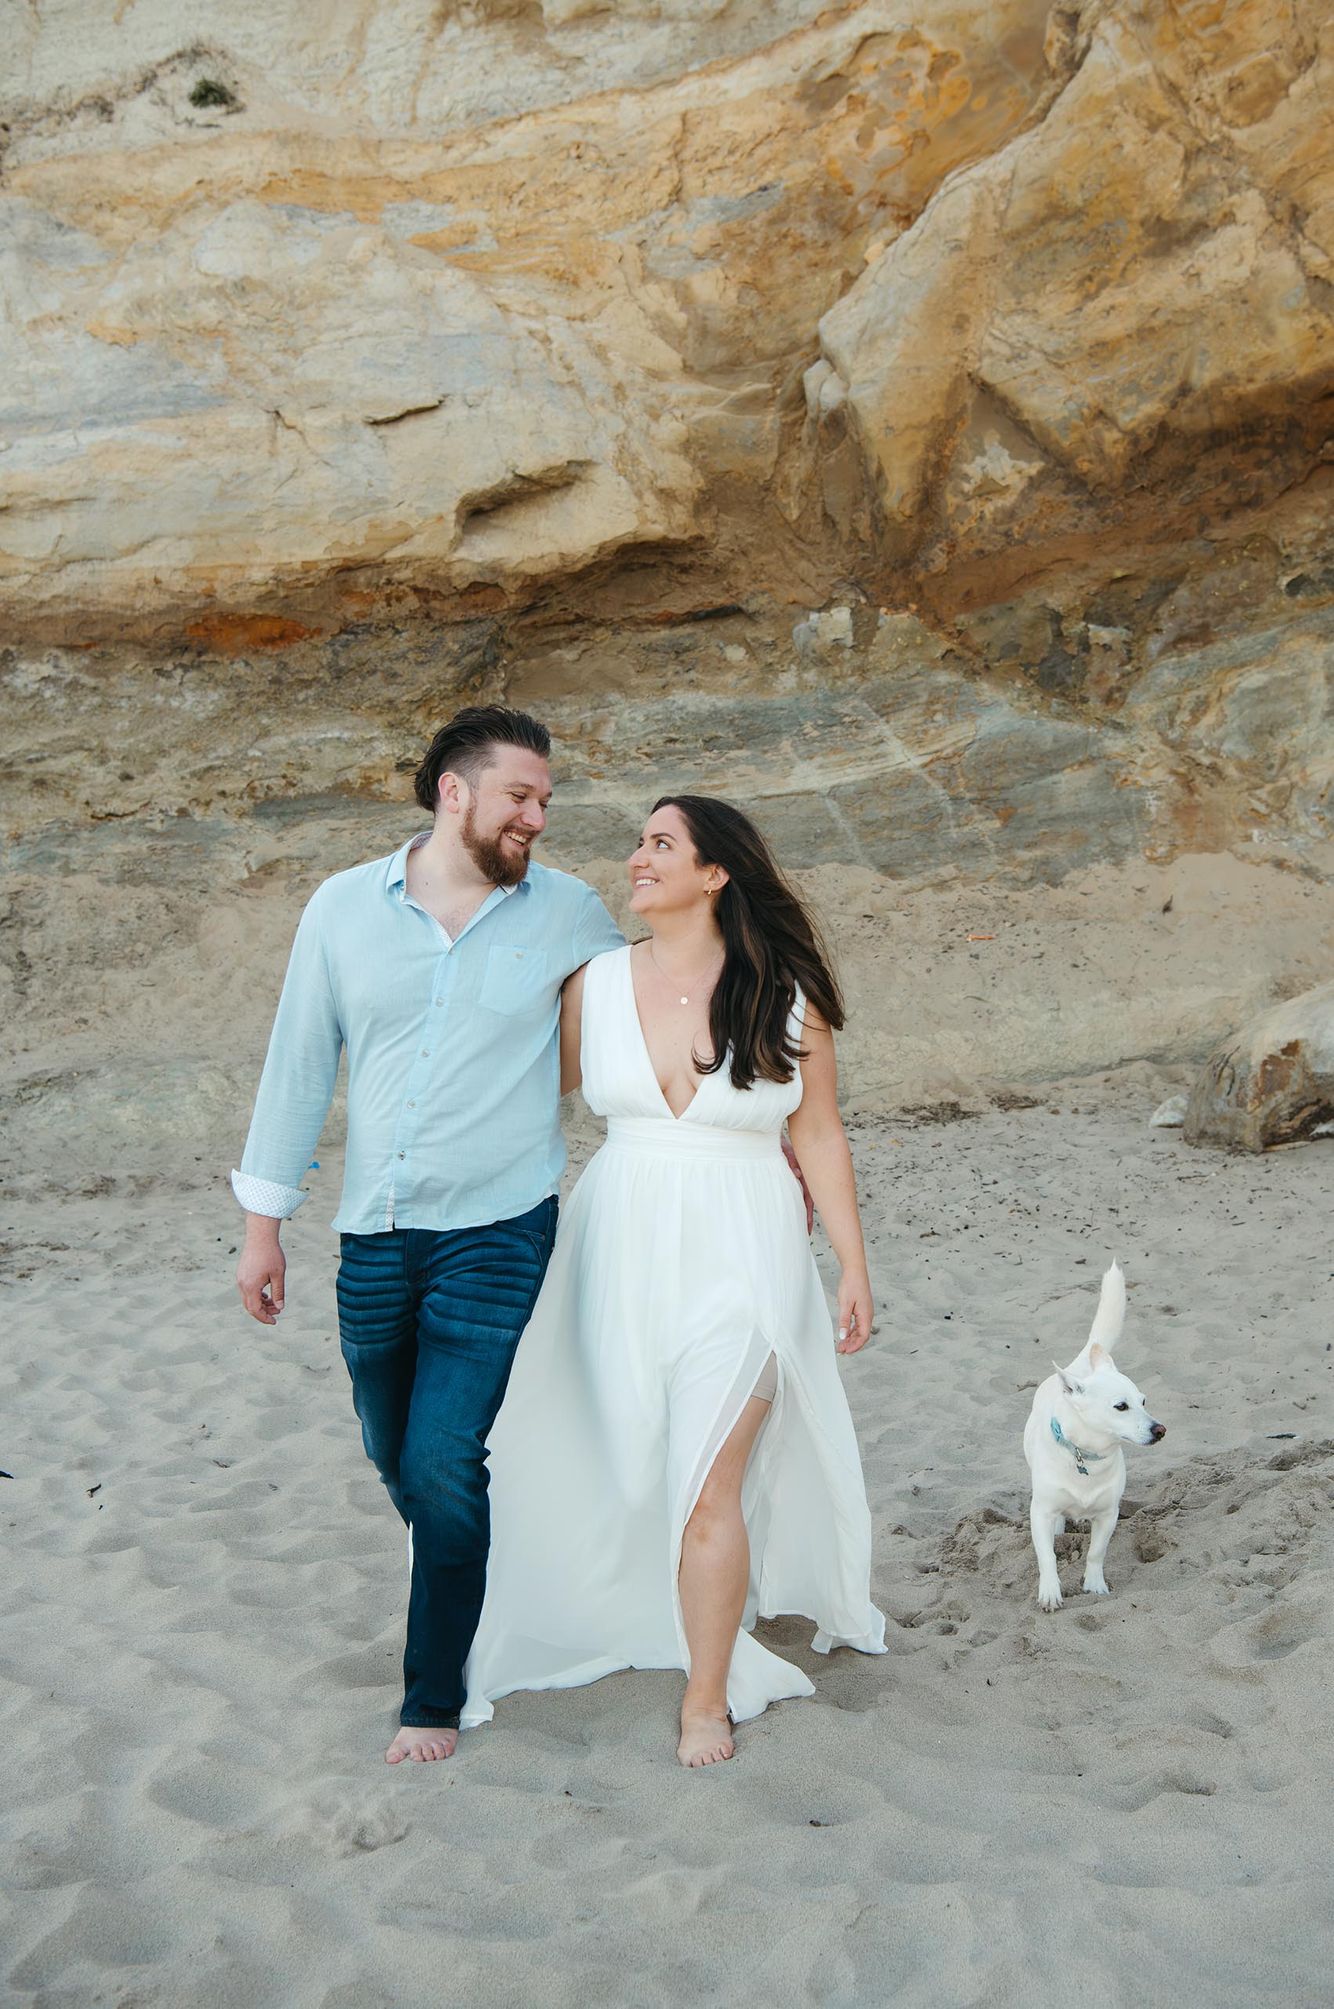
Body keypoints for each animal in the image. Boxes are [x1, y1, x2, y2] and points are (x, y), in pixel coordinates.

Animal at [1020, 1269, 1165, 1615]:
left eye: (1143, 1401)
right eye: (1121, 1406)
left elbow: (1096, 1552)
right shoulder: (1040, 1513)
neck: (1087, 1456)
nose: (1160, 1430)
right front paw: (1050, 1592)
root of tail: (1080, 1366)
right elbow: (1047, 1557)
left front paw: (1095, 1586)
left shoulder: (1108, 1515)